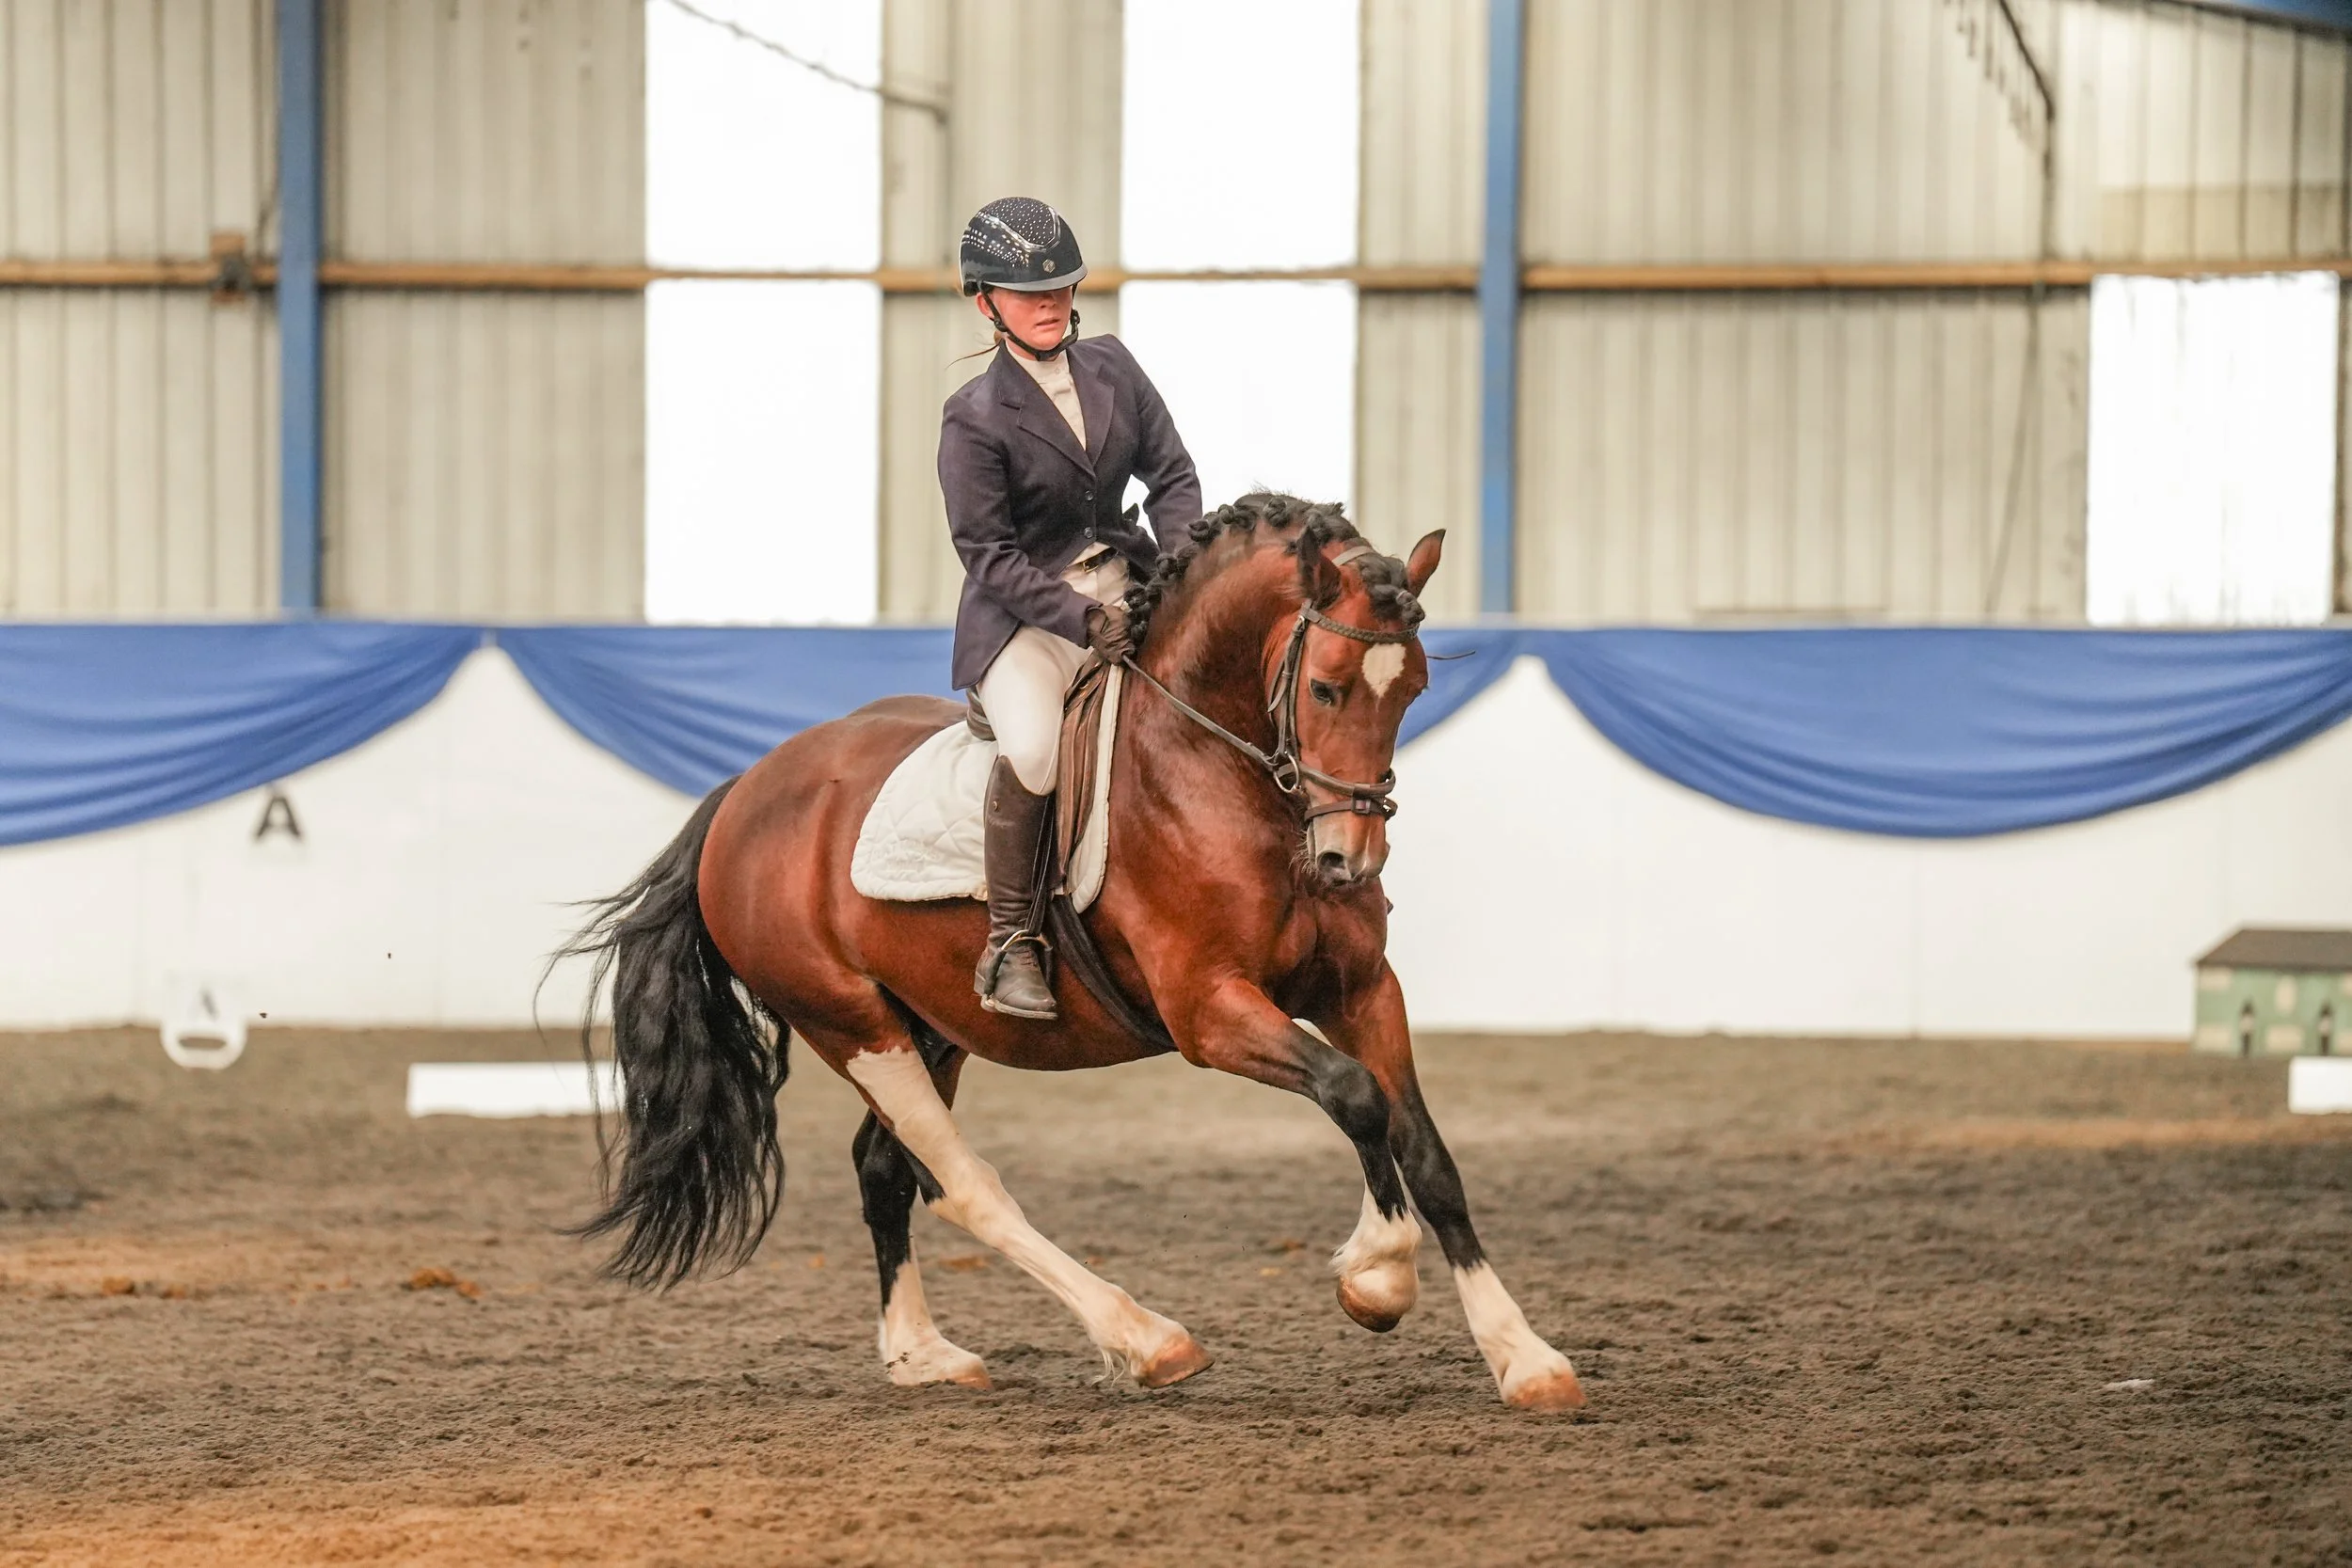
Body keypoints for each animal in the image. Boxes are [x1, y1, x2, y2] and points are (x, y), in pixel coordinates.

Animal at [564, 493, 1585, 1412]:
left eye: (1412, 689)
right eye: (1328, 685)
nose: (1347, 861)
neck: (1226, 773)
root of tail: (745, 788)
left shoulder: (1363, 987)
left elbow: (1425, 1148)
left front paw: (1523, 1356)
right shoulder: (1208, 1008)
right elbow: (1354, 1095)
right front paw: (1376, 1275)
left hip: (933, 1026)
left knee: (883, 1168)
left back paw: (923, 1354)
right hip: (848, 1022)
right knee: (964, 1186)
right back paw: (1144, 1337)